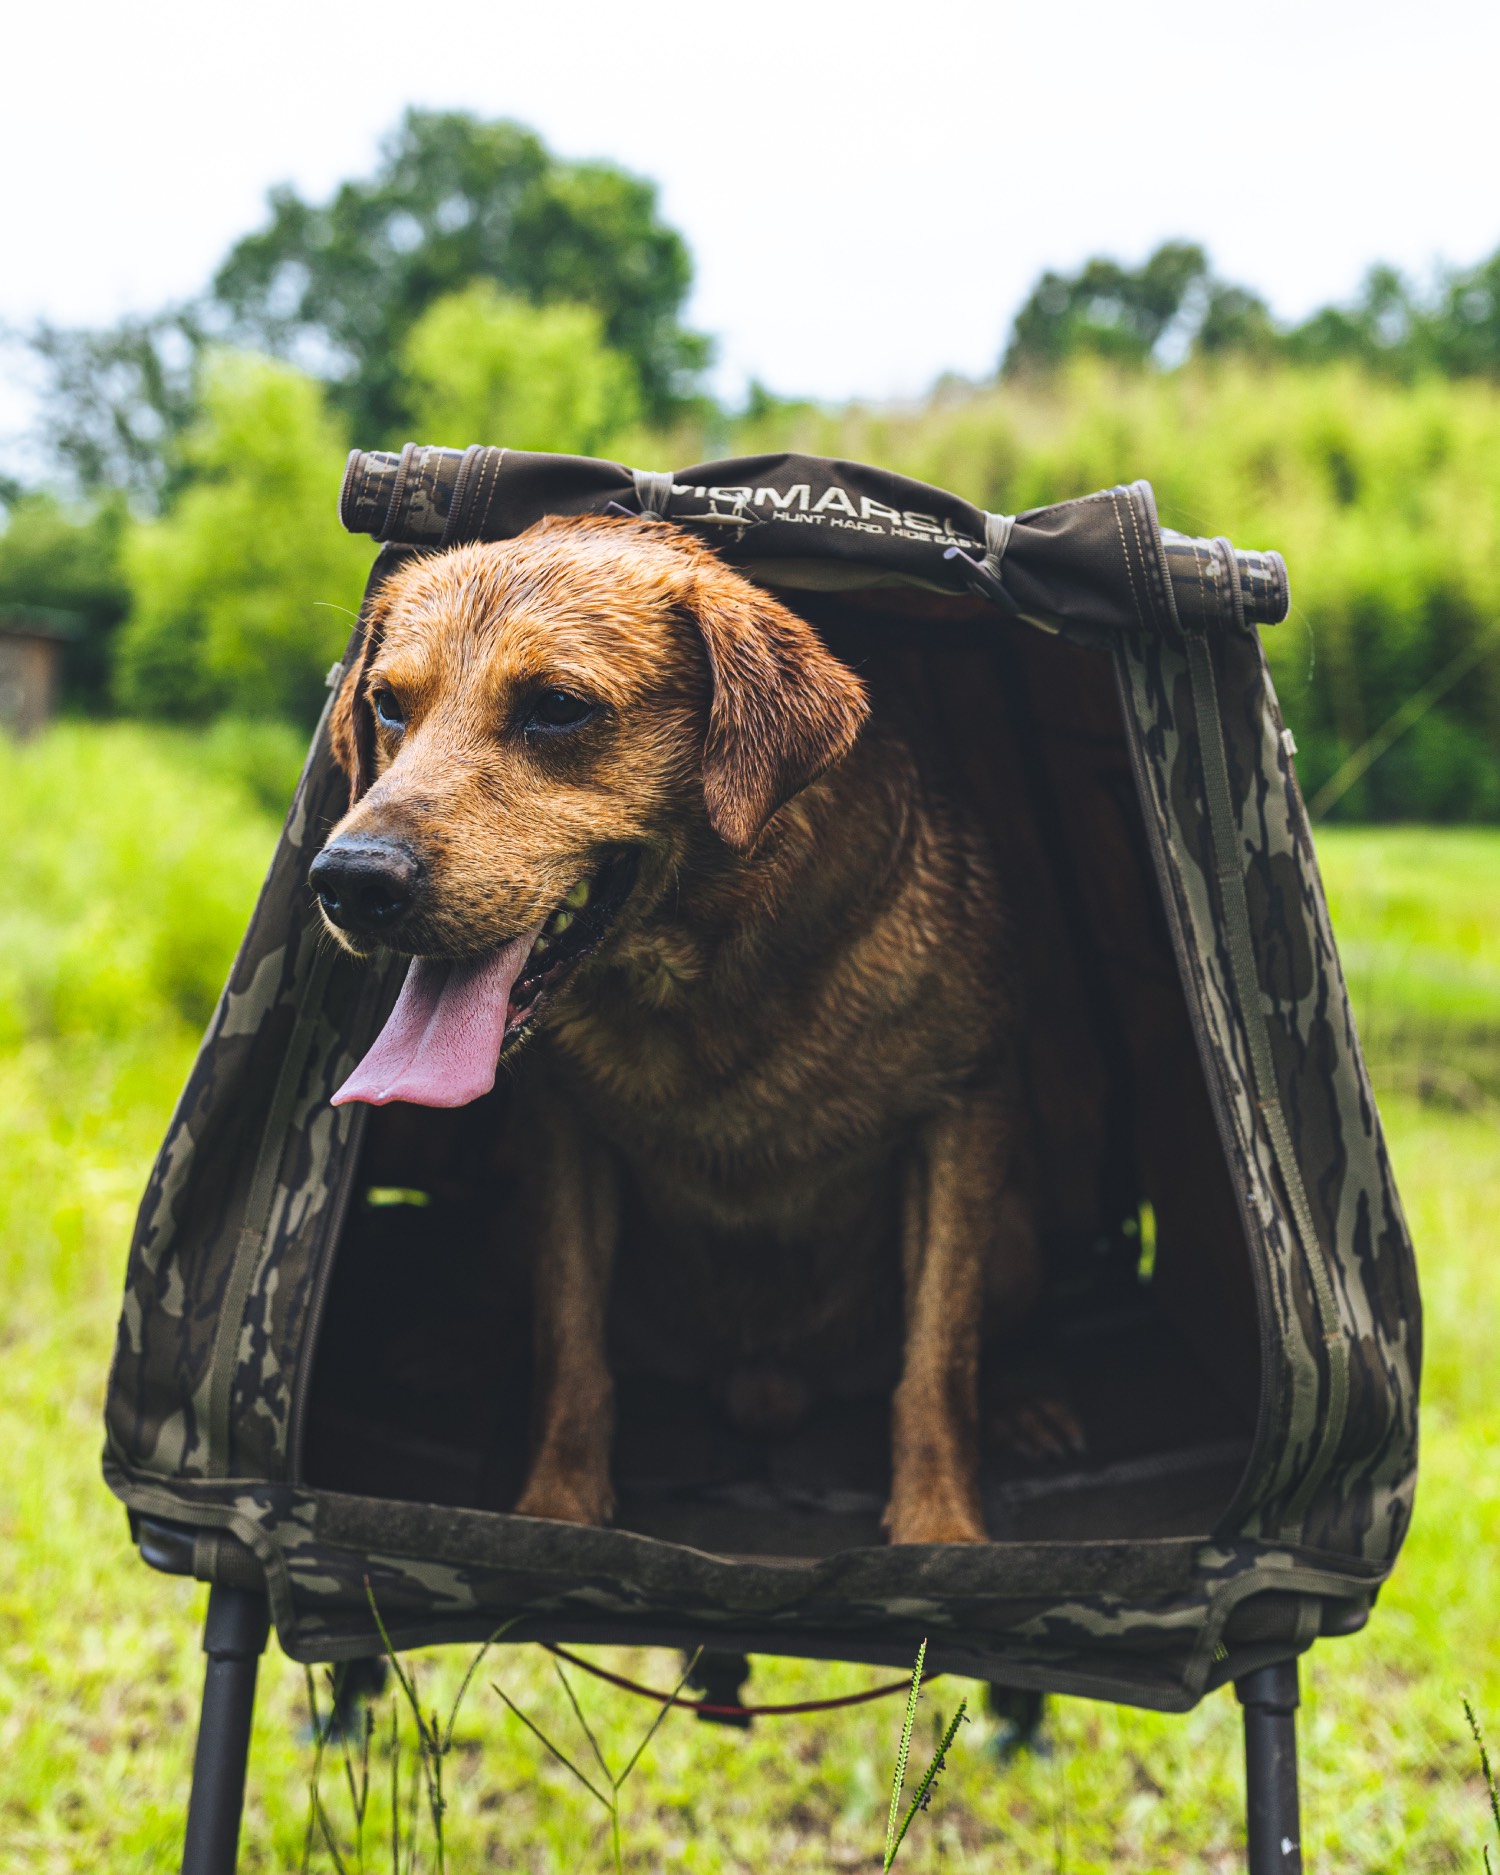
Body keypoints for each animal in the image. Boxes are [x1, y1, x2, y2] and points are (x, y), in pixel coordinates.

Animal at [313, 510, 1042, 1537]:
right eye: (385, 705)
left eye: (557, 707)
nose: (349, 880)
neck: (695, 981)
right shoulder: (563, 1139)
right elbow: (571, 1343)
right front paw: (558, 1510)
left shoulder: (965, 1109)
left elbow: (939, 1354)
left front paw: (939, 1528)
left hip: (1014, 1231)